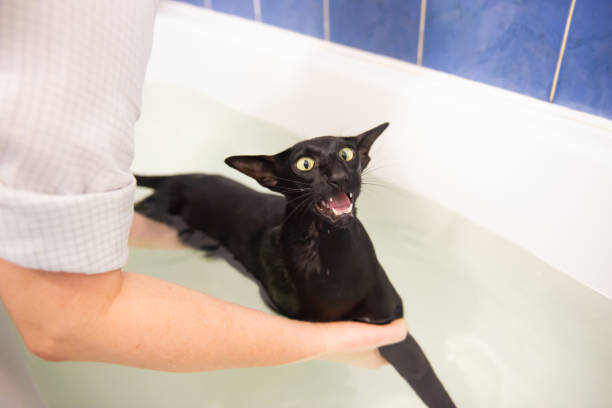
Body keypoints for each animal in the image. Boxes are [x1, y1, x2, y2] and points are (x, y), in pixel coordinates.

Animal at [136, 122, 456, 406]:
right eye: (305, 164)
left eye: (347, 154)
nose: (339, 176)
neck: (330, 253)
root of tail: (178, 176)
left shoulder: (389, 319)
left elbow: (421, 371)